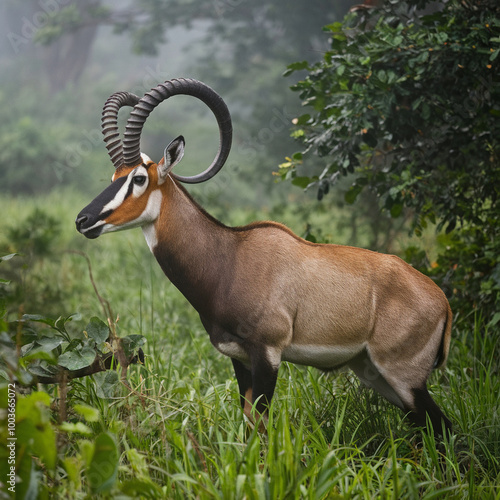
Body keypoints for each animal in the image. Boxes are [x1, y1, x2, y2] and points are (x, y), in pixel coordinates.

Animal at [75, 76, 454, 436]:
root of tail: (442, 302)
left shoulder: (268, 353)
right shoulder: (238, 357)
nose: (83, 220)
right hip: (374, 373)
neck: (229, 257)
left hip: (403, 377)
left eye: (139, 178)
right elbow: (247, 423)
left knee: (441, 426)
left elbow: (259, 422)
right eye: (114, 176)